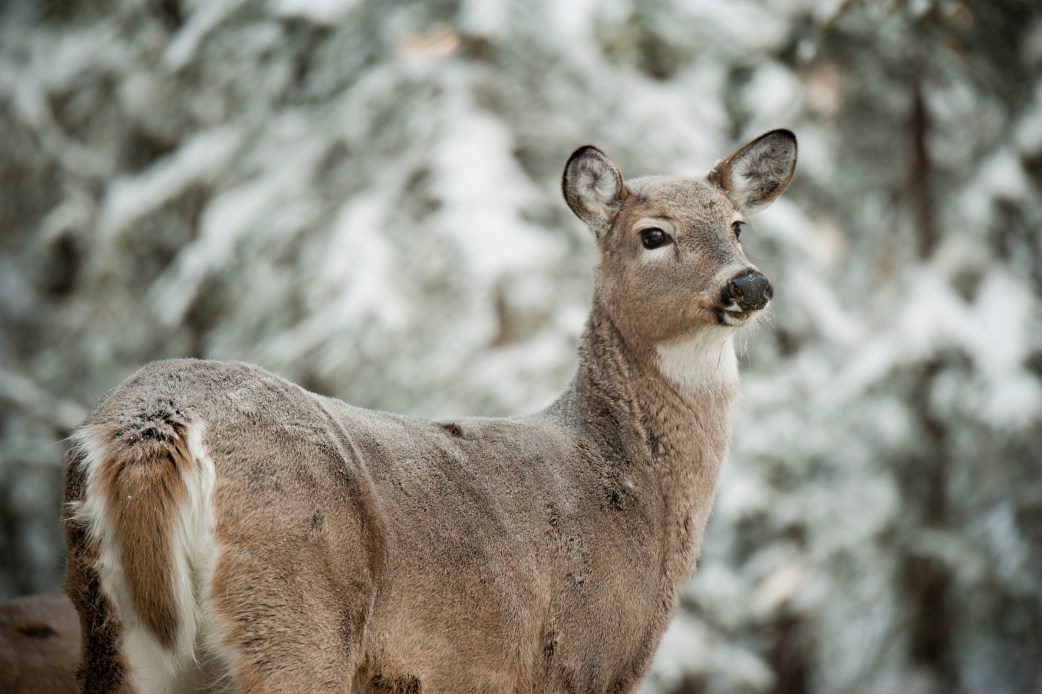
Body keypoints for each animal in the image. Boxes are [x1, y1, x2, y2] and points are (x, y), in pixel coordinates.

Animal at [63, 128, 796, 687]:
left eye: (738, 226)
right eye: (652, 235)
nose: (750, 284)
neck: (633, 487)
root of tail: (155, 418)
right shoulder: (581, 657)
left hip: (112, 627)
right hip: (293, 603)